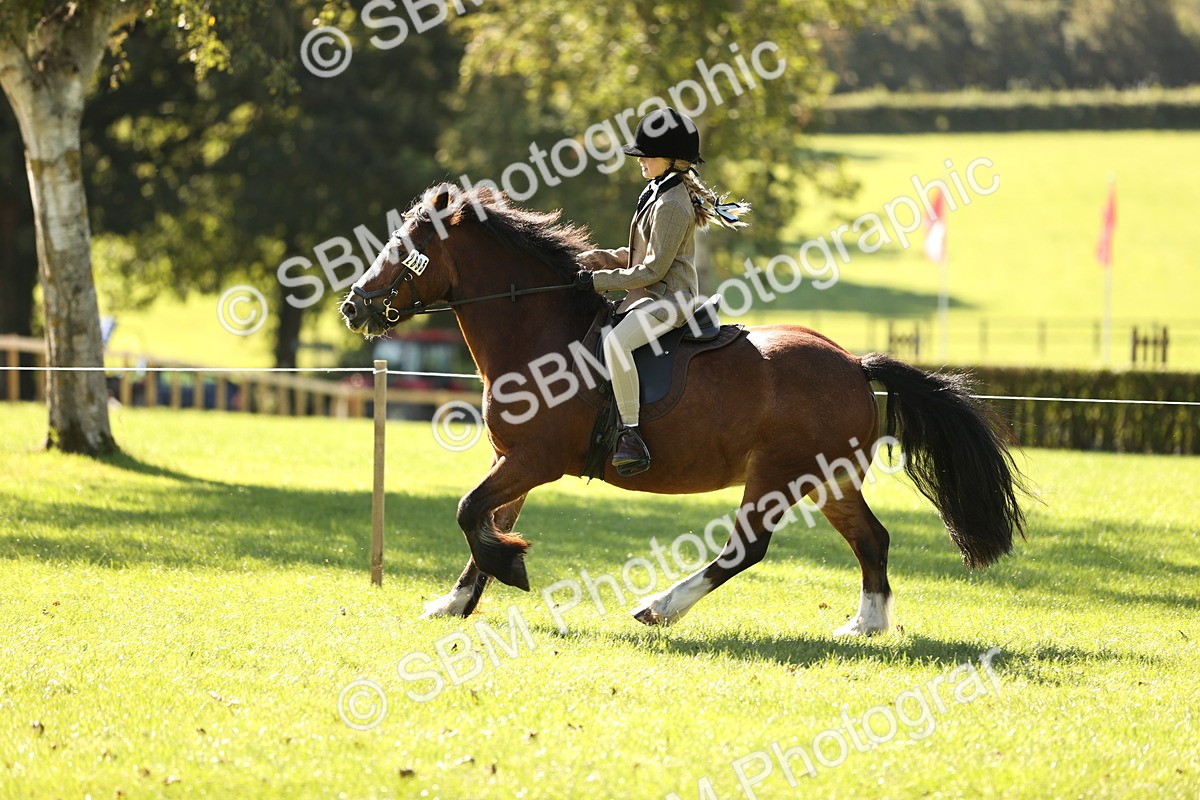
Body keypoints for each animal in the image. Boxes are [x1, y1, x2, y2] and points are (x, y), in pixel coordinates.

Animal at [340, 183, 1028, 635]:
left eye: (403, 249)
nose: (353, 306)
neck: (537, 331)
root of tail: (854, 364)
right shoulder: (514, 459)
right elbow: (484, 519)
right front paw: (455, 601)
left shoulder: (535, 459)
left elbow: (469, 512)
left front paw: (510, 565)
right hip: (827, 478)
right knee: (871, 539)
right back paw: (866, 625)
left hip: (775, 475)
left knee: (747, 549)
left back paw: (659, 608)